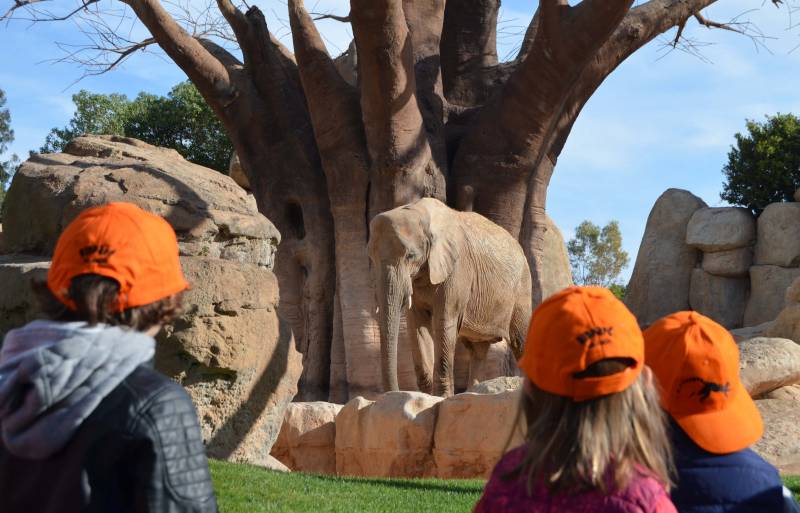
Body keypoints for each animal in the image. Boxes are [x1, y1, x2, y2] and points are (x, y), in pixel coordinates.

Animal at [368, 197, 532, 396]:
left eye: (410, 256)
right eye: (371, 256)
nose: (392, 393)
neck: (420, 211)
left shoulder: (456, 269)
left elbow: (443, 321)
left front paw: (441, 396)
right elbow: (418, 326)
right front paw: (427, 396)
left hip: (522, 289)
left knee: (519, 341)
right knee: (478, 349)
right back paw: (473, 391)